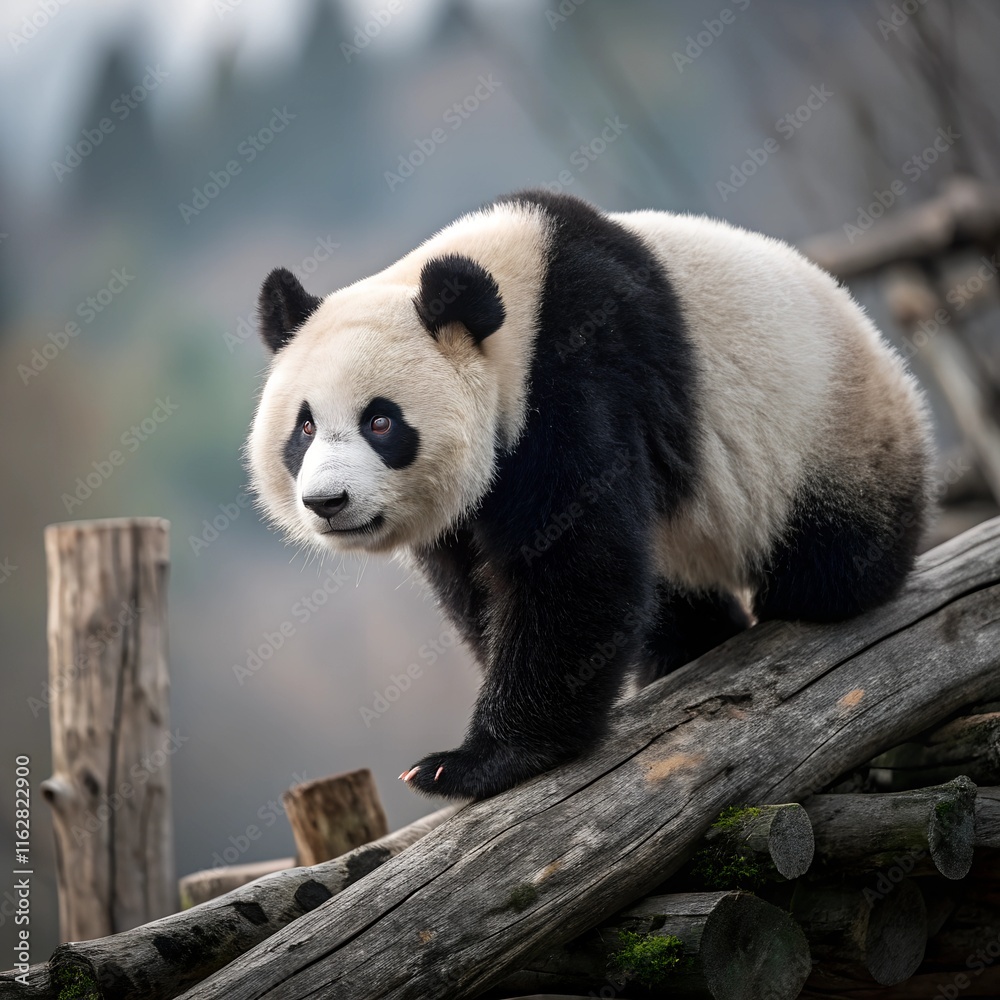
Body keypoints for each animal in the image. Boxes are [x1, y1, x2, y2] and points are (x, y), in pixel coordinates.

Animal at [248, 189, 932, 800]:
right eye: (304, 427)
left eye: (381, 422)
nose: (328, 502)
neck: (517, 313)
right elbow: (480, 586)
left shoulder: (579, 368)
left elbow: (576, 563)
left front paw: (473, 763)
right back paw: (688, 646)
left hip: (830, 435)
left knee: (832, 551)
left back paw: (813, 592)